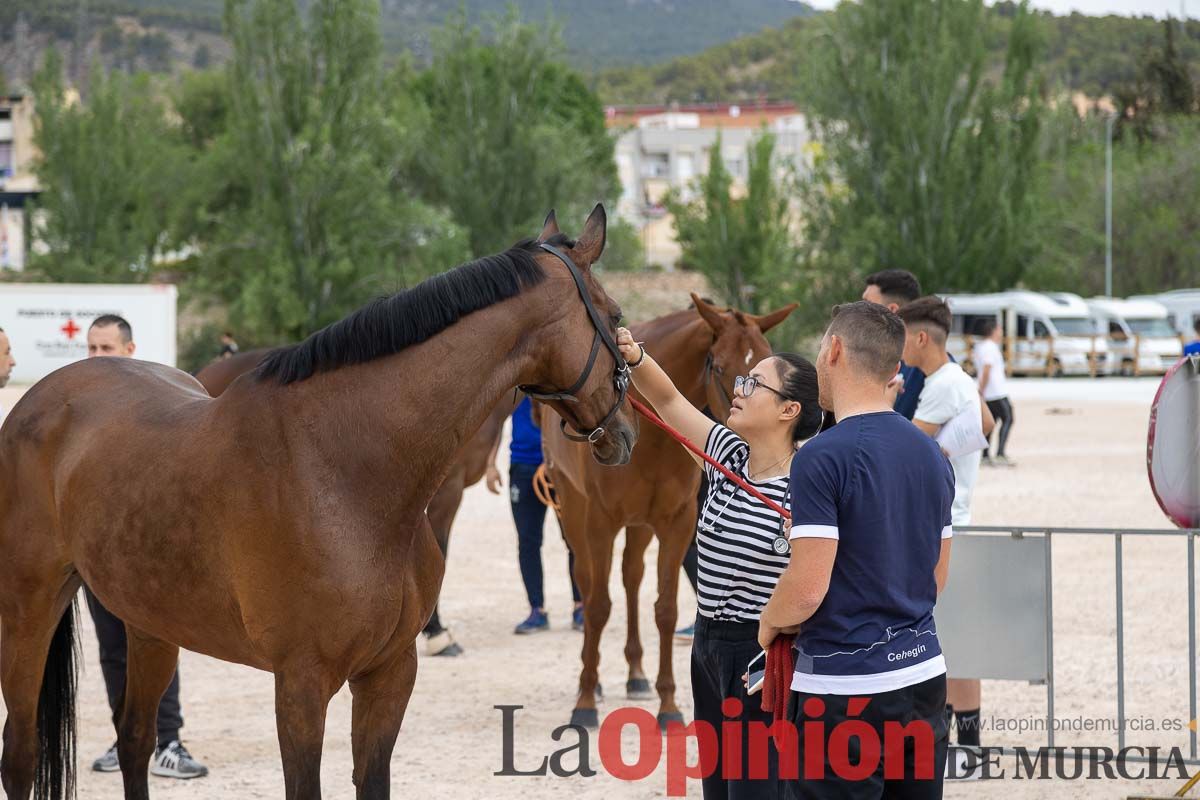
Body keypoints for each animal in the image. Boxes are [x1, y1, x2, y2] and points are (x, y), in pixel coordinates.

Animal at [540, 297, 792, 729]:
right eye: (718, 365)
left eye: (763, 357)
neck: (653, 441)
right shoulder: (601, 522)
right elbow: (599, 607)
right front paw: (585, 701)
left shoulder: (676, 523)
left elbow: (666, 610)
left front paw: (669, 704)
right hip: (573, 508)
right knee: (588, 584)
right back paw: (594, 681)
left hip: (640, 525)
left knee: (631, 576)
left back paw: (636, 674)